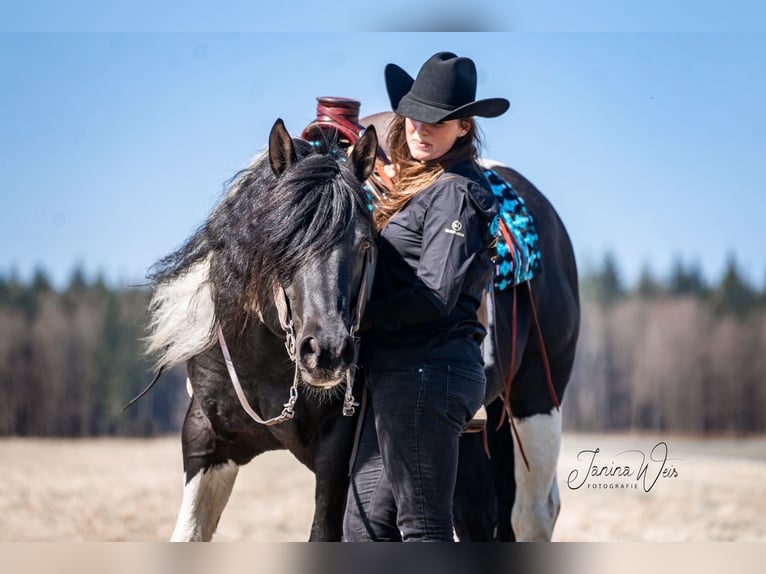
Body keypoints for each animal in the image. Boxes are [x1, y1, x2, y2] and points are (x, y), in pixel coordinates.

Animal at [144, 118, 379, 541]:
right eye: (281, 238)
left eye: (365, 245)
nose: (328, 352)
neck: (264, 362)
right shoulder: (205, 438)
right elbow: (188, 532)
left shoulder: (338, 451)